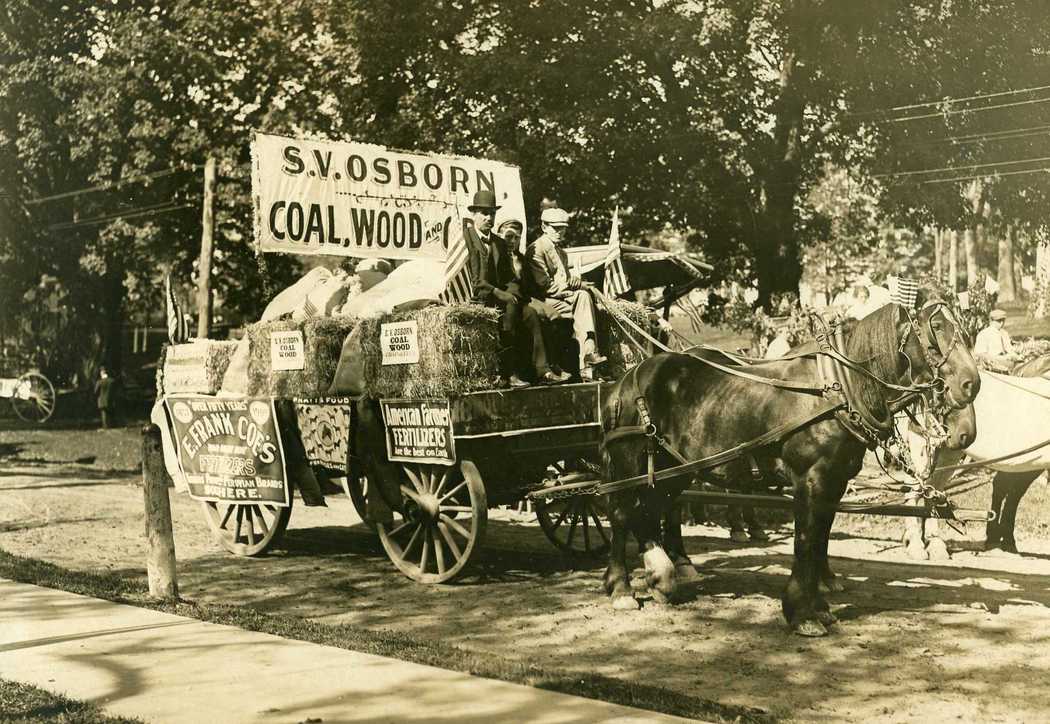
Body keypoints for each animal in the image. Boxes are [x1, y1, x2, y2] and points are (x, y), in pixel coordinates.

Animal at [604, 302, 978, 633]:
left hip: (673, 470)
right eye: (936, 327)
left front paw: (819, 607)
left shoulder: (834, 483)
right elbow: (806, 541)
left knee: (650, 512)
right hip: (630, 465)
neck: (836, 390)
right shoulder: (811, 480)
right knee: (622, 514)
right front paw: (802, 614)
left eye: (963, 329)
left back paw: (660, 577)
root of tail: (627, 378)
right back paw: (621, 587)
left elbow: (820, 539)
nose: (971, 384)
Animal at [898, 369, 1050, 554]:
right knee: (913, 490)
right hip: (924, 448)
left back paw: (933, 543)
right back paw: (915, 543)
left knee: (931, 490)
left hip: (947, 454)